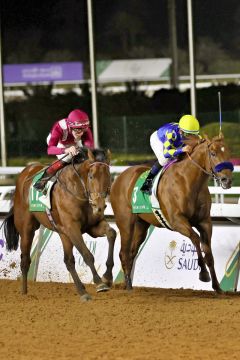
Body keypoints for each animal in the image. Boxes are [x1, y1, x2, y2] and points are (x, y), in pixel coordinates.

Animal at [1, 147, 116, 300]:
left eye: (108, 176)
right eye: (91, 176)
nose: (99, 206)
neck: (78, 189)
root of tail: (25, 173)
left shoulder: (92, 226)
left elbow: (112, 234)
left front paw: (107, 277)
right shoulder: (72, 228)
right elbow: (87, 254)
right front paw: (99, 283)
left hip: (63, 234)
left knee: (68, 261)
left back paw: (82, 290)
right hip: (27, 229)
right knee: (25, 260)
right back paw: (24, 293)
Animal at [111, 134, 234, 294]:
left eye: (229, 153)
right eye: (213, 153)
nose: (227, 180)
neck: (189, 181)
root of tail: (119, 177)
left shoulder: (205, 222)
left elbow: (208, 252)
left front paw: (218, 288)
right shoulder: (177, 221)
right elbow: (196, 239)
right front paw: (203, 274)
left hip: (141, 225)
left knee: (132, 252)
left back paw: (129, 284)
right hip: (125, 223)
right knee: (123, 253)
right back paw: (128, 286)